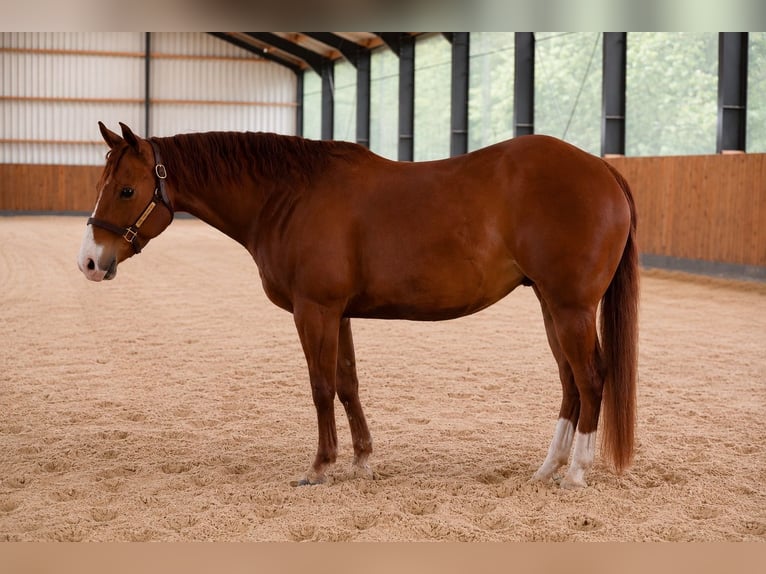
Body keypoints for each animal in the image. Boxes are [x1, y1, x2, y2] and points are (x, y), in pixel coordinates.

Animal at [78, 122, 638, 489]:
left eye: (126, 189)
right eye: (102, 184)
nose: (90, 261)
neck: (289, 196)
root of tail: (601, 169)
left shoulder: (315, 309)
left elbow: (321, 387)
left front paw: (320, 466)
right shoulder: (339, 312)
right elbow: (347, 383)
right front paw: (363, 460)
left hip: (569, 308)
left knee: (591, 378)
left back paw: (577, 472)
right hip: (549, 304)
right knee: (570, 382)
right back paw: (547, 468)